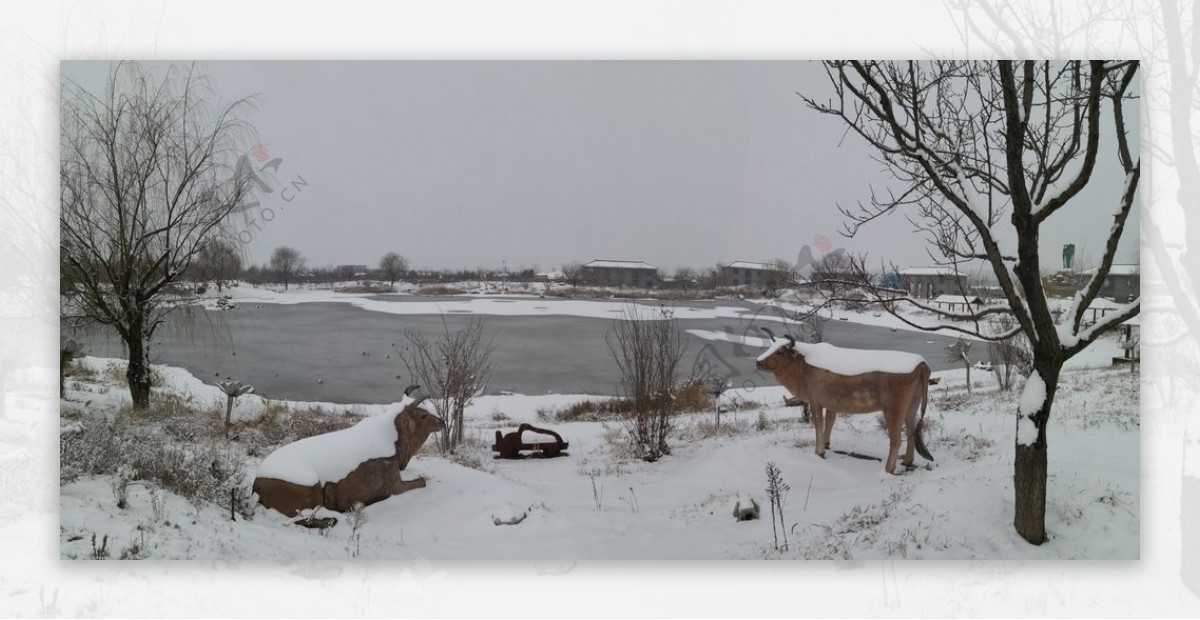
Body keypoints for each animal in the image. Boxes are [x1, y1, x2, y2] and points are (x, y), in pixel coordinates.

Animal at [253, 386, 446, 518]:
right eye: (423, 415)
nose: (442, 422)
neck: (398, 447)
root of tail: (257, 484)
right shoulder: (394, 485)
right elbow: (422, 481)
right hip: (311, 491)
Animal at [753, 328, 931, 474]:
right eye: (771, 347)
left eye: (780, 351)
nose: (758, 362)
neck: (803, 367)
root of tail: (920, 364)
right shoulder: (831, 403)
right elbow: (829, 422)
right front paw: (826, 445)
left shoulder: (815, 402)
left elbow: (818, 424)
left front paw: (819, 452)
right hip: (912, 405)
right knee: (912, 430)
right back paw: (907, 461)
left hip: (894, 409)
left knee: (896, 439)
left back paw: (888, 469)